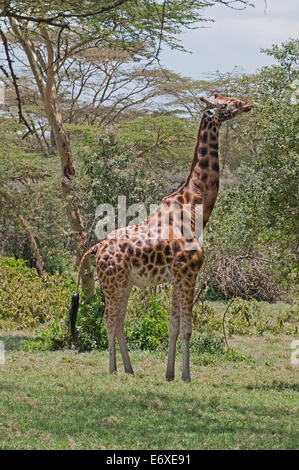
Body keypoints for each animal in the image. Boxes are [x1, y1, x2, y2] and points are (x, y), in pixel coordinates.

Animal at [69, 92, 253, 382]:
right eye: (224, 104)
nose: (248, 104)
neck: (194, 205)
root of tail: (96, 248)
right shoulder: (188, 273)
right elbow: (187, 328)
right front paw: (186, 376)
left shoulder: (178, 277)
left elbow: (174, 326)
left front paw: (170, 374)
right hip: (113, 282)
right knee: (109, 320)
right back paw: (112, 369)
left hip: (124, 283)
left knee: (119, 321)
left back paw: (129, 369)